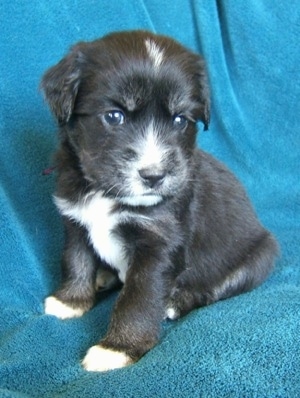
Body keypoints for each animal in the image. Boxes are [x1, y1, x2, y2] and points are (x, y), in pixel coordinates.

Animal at [41, 29, 278, 372]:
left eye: (180, 120)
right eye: (114, 116)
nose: (154, 176)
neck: (106, 194)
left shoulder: (158, 244)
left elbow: (139, 297)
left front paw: (118, 348)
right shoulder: (75, 220)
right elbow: (75, 261)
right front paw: (70, 301)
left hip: (260, 256)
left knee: (214, 289)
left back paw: (175, 301)